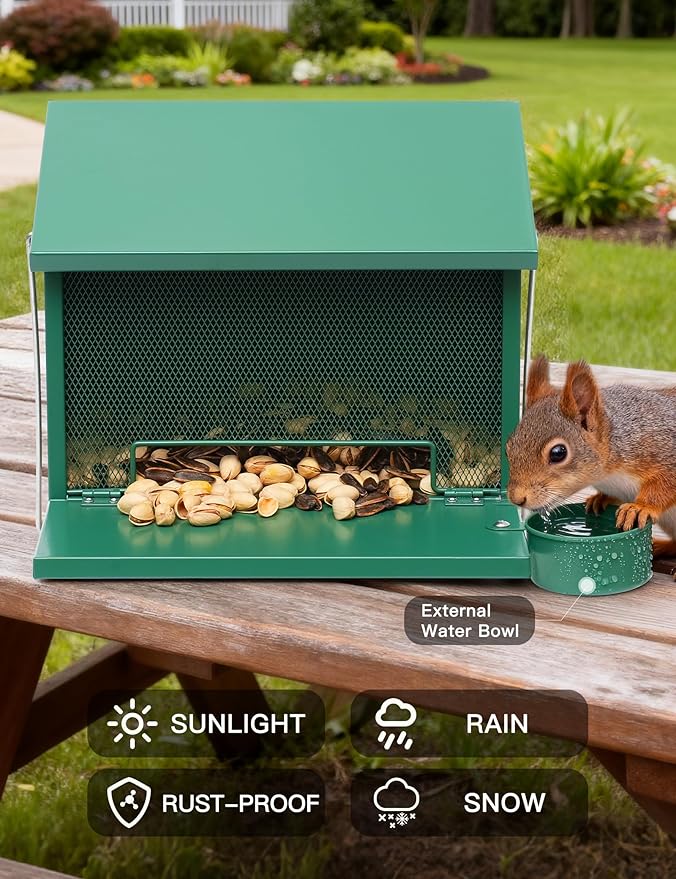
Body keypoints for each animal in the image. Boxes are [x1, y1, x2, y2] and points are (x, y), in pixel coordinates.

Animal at [506, 355, 676, 558]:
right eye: (508, 448)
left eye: (558, 453)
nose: (516, 499)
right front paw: (601, 498)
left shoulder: (661, 446)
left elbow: (666, 482)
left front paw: (640, 506)